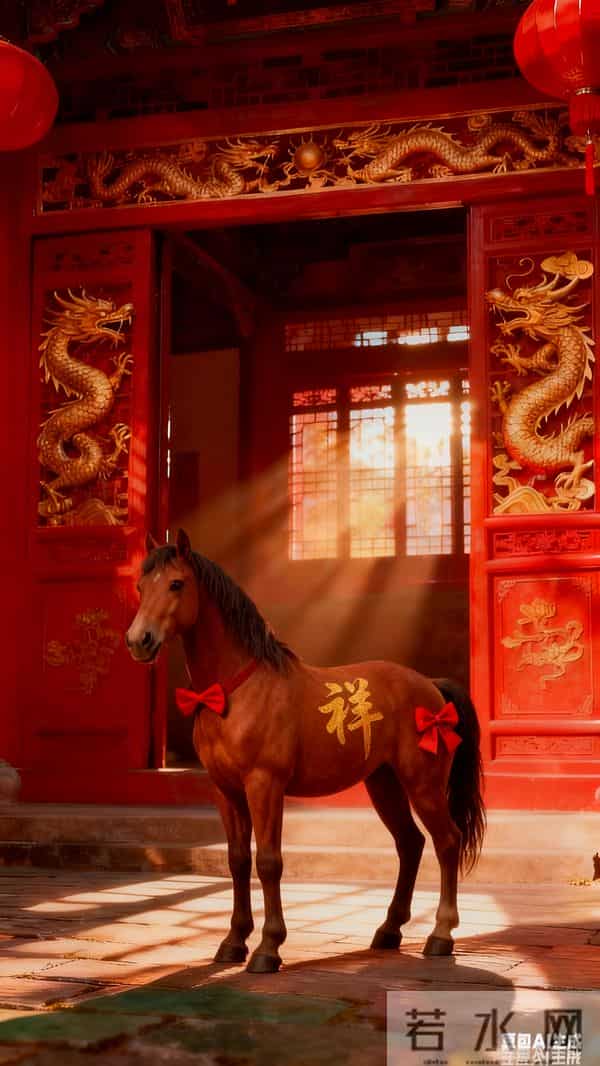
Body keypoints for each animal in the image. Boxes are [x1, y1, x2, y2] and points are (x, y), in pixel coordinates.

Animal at [126, 529, 485, 974]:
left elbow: (269, 861)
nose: (139, 641)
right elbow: (237, 860)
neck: (237, 691)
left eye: (176, 584)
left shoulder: (265, 785)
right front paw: (233, 942)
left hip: (423, 784)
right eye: (141, 587)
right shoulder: (225, 790)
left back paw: (441, 934)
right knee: (410, 844)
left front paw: (268, 948)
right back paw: (389, 930)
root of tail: (432, 687)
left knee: (447, 842)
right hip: (384, 784)